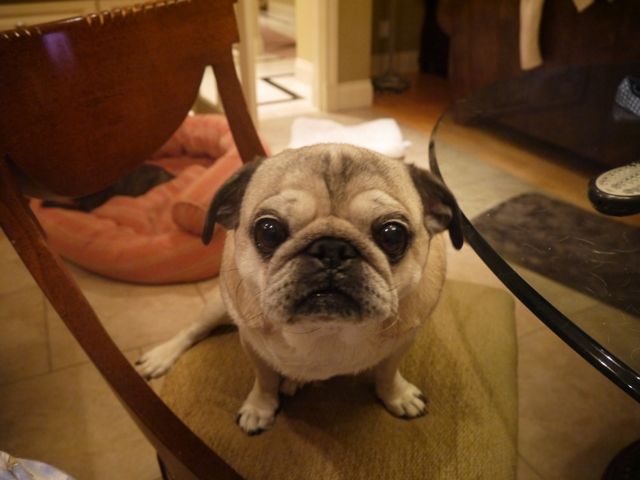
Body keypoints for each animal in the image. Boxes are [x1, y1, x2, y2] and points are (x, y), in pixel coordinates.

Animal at [136, 143, 463, 434]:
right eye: (268, 230)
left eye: (393, 235)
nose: (332, 249)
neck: (327, 330)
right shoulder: (252, 344)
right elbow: (265, 380)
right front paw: (260, 408)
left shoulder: (403, 342)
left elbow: (387, 372)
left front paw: (397, 395)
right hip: (218, 306)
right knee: (193, 330)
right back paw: (161, 356)